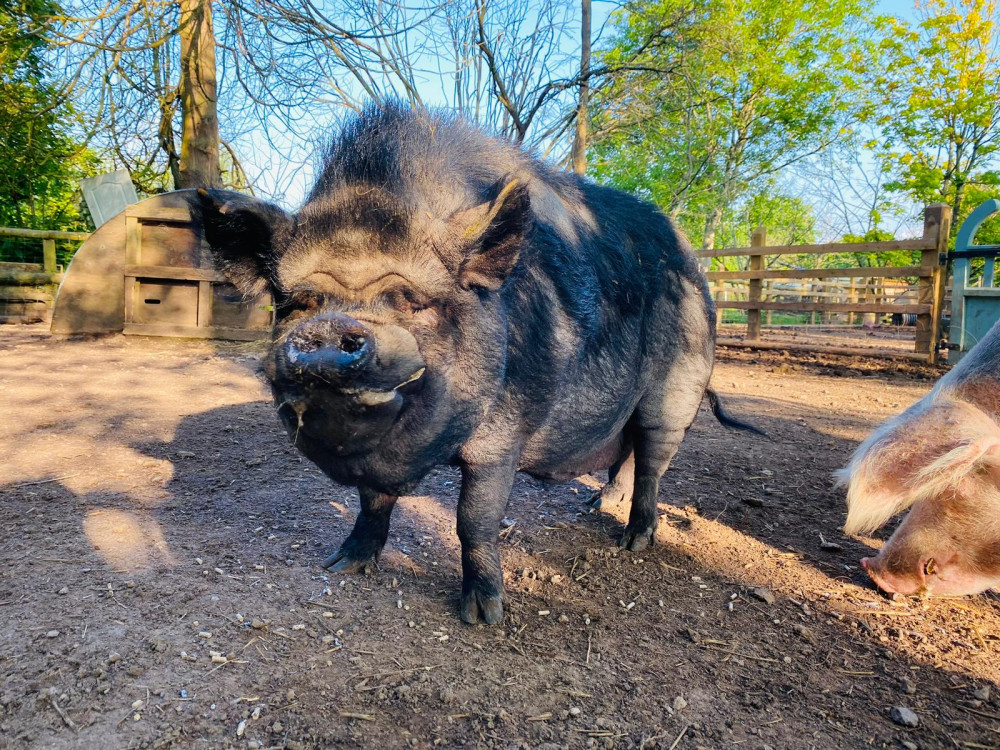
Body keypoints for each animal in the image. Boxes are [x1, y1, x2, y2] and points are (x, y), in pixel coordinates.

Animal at [190, 103, 758, 624]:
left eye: (411, 301)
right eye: (296, 303)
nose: (329, 329)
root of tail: (695, 268)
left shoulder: (503, 437)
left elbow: (474, 520)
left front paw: (484, 616)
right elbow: (372, 502)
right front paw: (340, 566)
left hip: (675, 389)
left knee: (653, 462)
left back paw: (634, 542)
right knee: (627, 458)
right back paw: (595, 508)